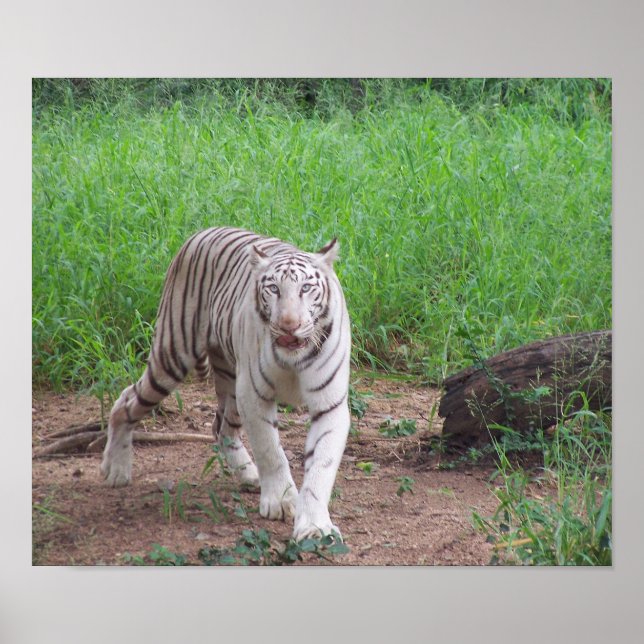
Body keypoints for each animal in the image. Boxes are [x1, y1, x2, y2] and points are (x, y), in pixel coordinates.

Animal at [100, 226, 351, 541]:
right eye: (273, 289)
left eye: (306, 288)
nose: (288, 325)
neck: (293, 359)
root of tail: (202, 231)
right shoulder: (254, 396)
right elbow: (271, 451)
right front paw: (281, 501)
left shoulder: (329, 403)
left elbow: (321, 466)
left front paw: (315, 526)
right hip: (173, 357)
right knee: (125, 401)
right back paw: (115, 470)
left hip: (231, 383)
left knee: (221, 428)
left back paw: (249, 476)